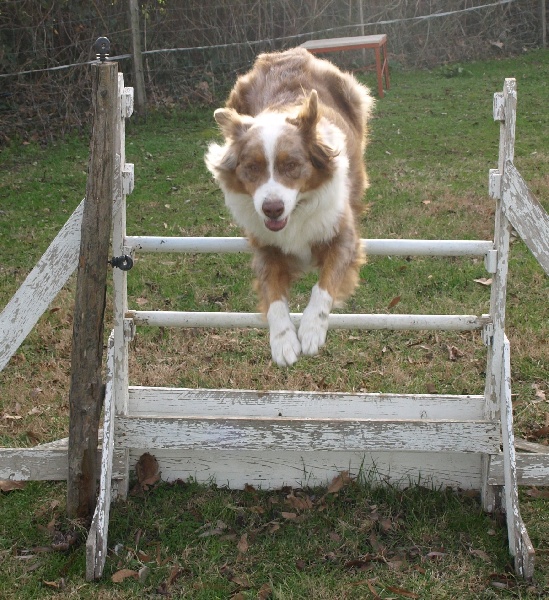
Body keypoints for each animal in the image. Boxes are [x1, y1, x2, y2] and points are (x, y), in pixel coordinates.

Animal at [203, 47, 374, 366]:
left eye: (292, 165)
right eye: (252, 168)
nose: (272, 209)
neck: (295, 214)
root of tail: (286, 53)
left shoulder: (343, 237)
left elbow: (324, 284)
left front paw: (311, 330)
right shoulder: (265, 248)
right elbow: (273, 297)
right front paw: (283, 340)